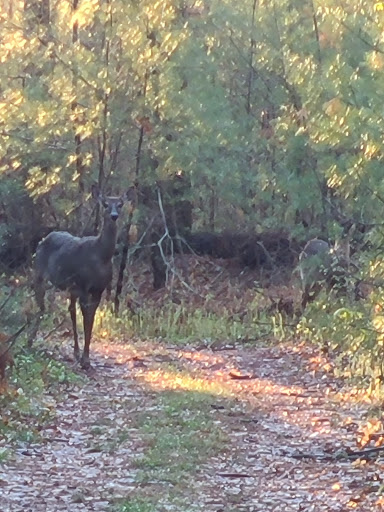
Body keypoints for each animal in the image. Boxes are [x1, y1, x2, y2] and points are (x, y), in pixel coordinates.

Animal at [32, 184, 136, 368]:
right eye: (105, 204)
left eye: (120, 204)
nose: (114, 216)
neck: (101, 256)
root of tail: (44, 239)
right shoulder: (83, 285)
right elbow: (86, 319)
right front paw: (85, 360)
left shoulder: (98, 289)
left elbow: (91, 320)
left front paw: (85, 358)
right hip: (40, 274)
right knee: (41, 306)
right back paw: (30, 340)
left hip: (70, 286)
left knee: (69, 310)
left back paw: (74, 351)